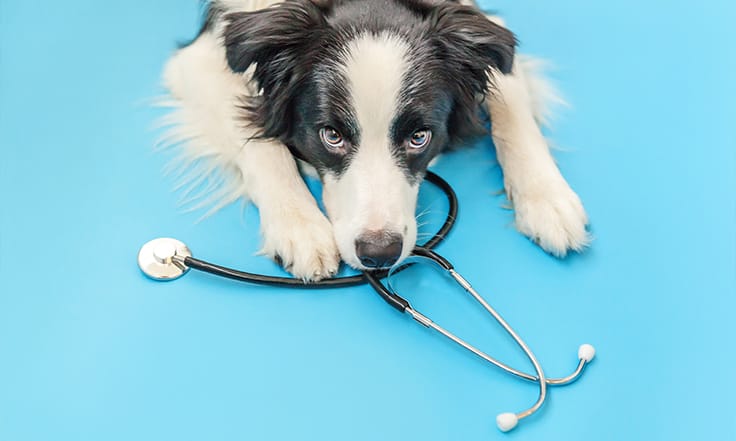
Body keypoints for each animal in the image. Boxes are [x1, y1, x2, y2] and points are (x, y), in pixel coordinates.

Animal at [160, 0, 588, 280]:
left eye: (419, 137)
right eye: (331, 135)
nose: (379, 254)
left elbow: (512, 108)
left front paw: (548, 200)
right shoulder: (196, 60)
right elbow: (258, 140)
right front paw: (300, 227)